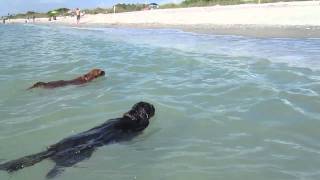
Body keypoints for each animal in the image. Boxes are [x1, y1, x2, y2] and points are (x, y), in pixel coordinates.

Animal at [0, 102, 155, 178]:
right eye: (150, 106)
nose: (154, 107)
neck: (132, 117)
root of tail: (53, 151)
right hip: (75, 157)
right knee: (59, 166)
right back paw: (51, 175)